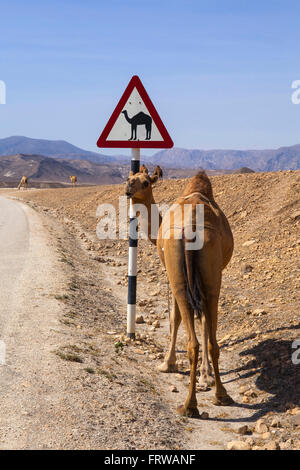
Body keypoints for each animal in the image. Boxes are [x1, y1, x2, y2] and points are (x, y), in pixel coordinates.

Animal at [126, 171, 234, 416]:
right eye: (129, 177)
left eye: (145, 182)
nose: (128, 188)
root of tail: (192, 226)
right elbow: (203, 323)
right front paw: (206, 376)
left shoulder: (169, 273)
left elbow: (174, 318)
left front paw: (168, 363)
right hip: (212, 277)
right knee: (210, 338)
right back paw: (220, 395)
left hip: (179, 277)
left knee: (191, 336)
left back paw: (189, 405)